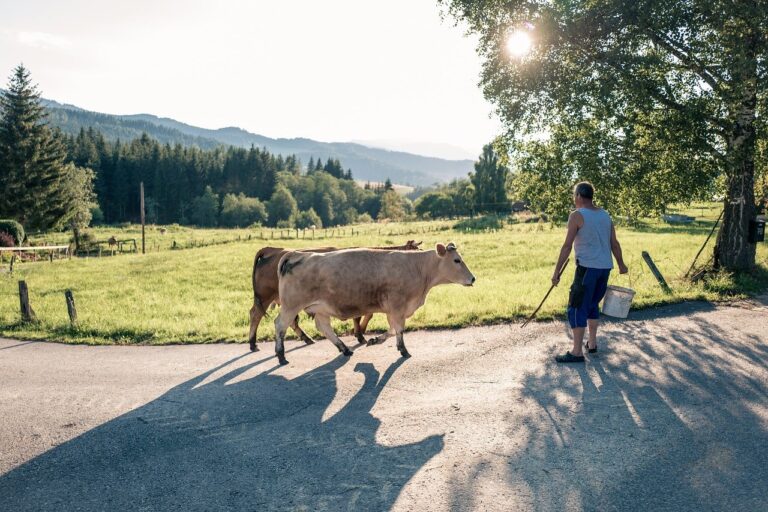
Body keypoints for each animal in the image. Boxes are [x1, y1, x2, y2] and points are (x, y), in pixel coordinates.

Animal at [249, 240, 424, 352]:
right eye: (416, 251)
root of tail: (272, 249)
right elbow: (363, 316)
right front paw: (360, 334)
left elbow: (368, 315)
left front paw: (361, 334)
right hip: (269, 298)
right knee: (257, 315)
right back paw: (253, 343)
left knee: (289, 321)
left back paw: (306, 338)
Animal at [270, 243, 474, 364]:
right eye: (457, 260)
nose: (473, 278)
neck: (417, 267)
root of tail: (295, 254)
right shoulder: (398, 306)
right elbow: (399, 329)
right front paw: (404, 350)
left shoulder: (392, 309)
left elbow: (392, 330)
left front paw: (376, 340)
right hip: (291, 305)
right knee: (280, 325)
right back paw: (281, 355)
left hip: (321, 307)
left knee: (324, 327)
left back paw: (344, 348)